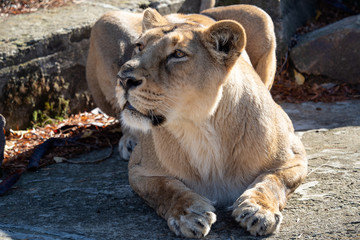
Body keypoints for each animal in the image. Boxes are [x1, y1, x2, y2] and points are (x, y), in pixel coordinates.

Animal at [87, 6, 306, 238]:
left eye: (178, 54)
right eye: (139, 47)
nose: (123, 78)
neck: (200, 127)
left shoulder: (295, 156)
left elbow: (272, 180)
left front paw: (258, 210)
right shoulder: (139, 170)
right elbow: (167, 188)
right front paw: (190, 214)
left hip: (262, 17)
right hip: (106, 21)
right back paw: (130, 139)